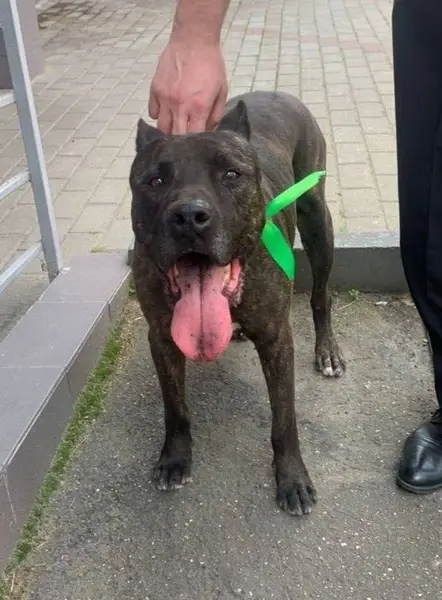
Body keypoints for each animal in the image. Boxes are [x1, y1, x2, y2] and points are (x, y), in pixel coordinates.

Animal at [130, 91, 345, 516]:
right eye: (155, 181)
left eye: (231, 175)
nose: (189, 216)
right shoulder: (161, 338)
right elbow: (174, 409)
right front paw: (175, 458)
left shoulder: (278, 340)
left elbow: (284, 420)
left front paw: (292, 477)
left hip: (317, 216)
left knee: (320, 294)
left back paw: (327, 350)